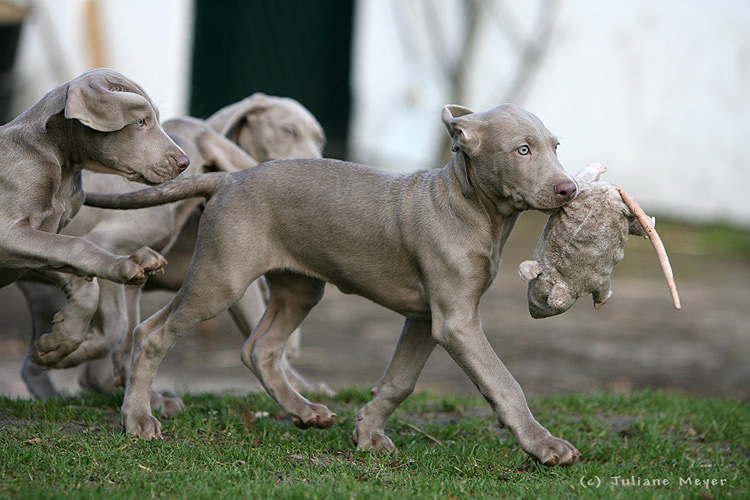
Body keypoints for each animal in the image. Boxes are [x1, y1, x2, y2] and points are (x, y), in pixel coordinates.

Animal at [0, 68, 188, 368]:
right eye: (140, 121)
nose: (185, 162)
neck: (62, 165)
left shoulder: (36, 245)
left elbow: (82, 279)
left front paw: (58, 343)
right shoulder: (8, 234)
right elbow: (77, 245)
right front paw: (128, 263)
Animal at [86, 103, 580, 466]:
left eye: (556, 146)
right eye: (522, 150)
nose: (569, 189)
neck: (472, 208)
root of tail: (229, 177)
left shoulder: (427, 317)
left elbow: (400, 381)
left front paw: (368, 431)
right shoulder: (456, 321)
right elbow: (504, 382)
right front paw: (545, 446)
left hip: (300, 287)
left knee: (259, 349)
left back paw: (304, 411)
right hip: (220, 278)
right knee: (151, 332)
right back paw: (138, 419)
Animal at [520, 162, 684, 318]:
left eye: (545, 302)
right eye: (532, 289)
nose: (534, 313)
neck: (553, 273)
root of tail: (612, 192)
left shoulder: (594, 281)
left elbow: (603, 290)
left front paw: (601, 302)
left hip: (599, 200)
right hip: (590, 194)